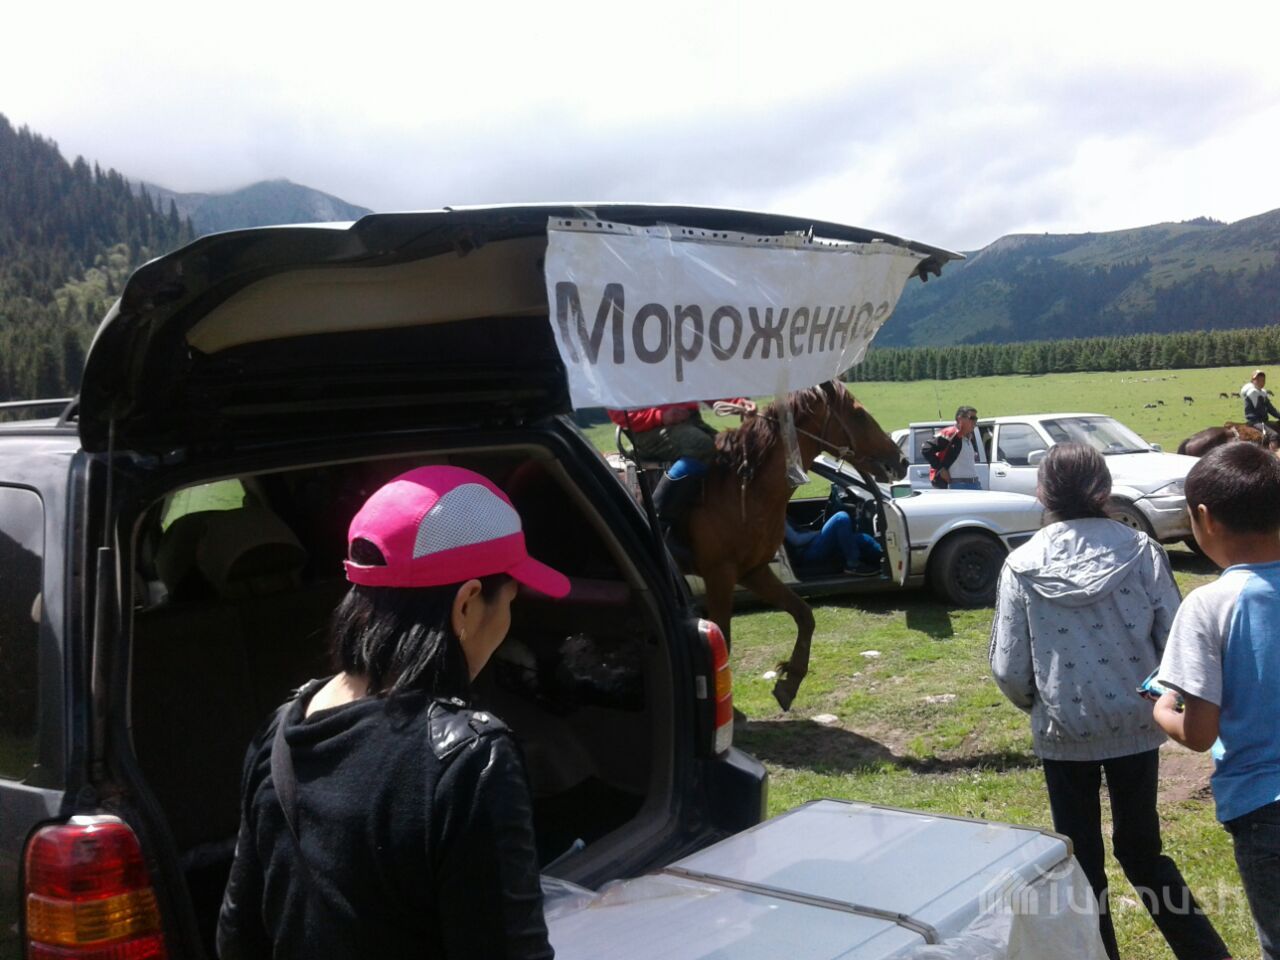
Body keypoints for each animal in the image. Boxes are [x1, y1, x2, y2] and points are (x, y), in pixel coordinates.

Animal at [683, 380, 906, 711]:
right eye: (858, 414)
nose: (901, 461)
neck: (740, 488)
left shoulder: (753, 571)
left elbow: (804, 615)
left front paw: (790, 680)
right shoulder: (719, 574)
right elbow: (722, 640)